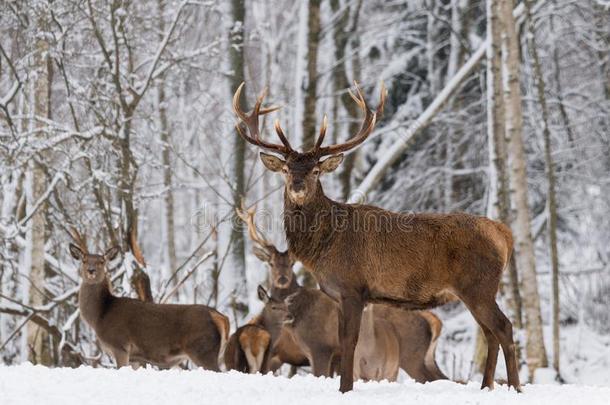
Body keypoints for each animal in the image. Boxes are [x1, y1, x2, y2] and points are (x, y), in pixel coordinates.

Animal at [67, 229, 228, 368]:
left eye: (101, 261)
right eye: (84, 260)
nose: (91, 270)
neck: (99, 316)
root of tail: (220, 317)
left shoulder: (120, 344)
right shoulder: (135, 358)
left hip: (202, 348)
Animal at [233, 83, 516, 392]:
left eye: (315, 170)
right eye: (286, 169)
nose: (297, 186)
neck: (324, 246)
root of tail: (504, 235)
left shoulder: (353, 287)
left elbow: (349, 342)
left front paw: (345, 388)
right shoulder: (340, 295)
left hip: (479, 285)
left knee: (504, 327)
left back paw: (515, 387)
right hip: (477, 290)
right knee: (490, 334)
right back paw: (486, 386)